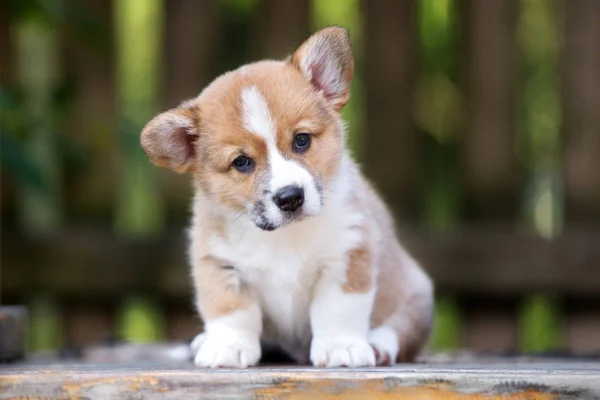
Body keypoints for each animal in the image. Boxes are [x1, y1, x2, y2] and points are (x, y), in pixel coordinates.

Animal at [141, 26, 432, 368]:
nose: (290, 197)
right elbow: (231, 310)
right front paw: (228, 346)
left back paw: (379, 344)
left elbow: (339, 309)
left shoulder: (348, 255)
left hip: (417, 295)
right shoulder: (219, 263)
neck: (283, 236)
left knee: (402, 330)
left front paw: (341, 347)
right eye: (242, 162)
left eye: (302, 140)